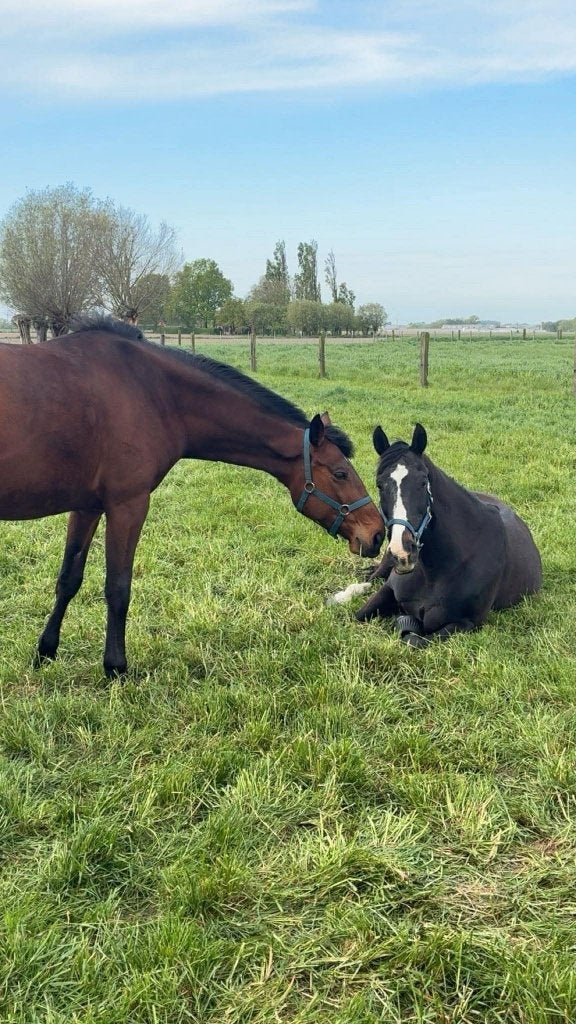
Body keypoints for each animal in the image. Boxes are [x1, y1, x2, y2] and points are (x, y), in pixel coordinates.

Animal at [0, 317, 384, 675]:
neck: (151, 391)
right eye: (340, 473)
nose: (378, 533)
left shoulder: (87, 507)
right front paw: (116, 667)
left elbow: (68, 579)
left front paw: (45, 652)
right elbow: (118, 588)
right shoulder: (128, 505)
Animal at [329, 423, 542, 646]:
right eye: (379, 484)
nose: (403, 553)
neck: (437, 570)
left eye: (423, 482)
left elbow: (412, 639)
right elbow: (358, 615)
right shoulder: (387, 591)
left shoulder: (465, 623)